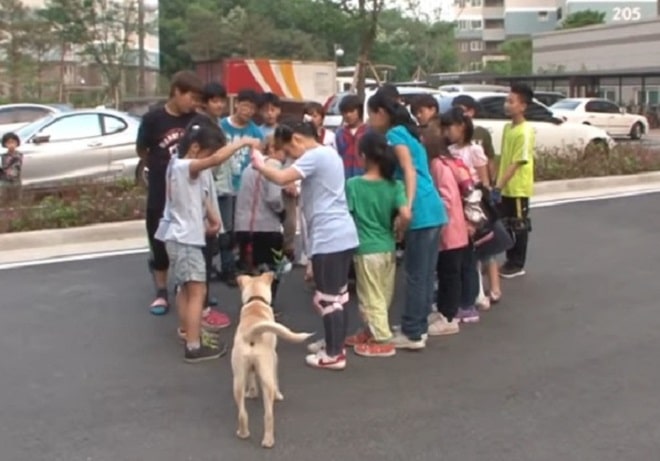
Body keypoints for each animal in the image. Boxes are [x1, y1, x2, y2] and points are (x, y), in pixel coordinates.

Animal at [232, 272, 314, 448]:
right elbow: (277, 380)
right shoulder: (274, 359)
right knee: (268, 415)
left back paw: (243, 433)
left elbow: (252, 379)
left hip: (238, 379)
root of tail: (251, 334)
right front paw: (278, 394)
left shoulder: (249, 370)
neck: (255, 301)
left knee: (242, 413)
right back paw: (268, 441)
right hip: (266, 376)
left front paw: (252, 393)